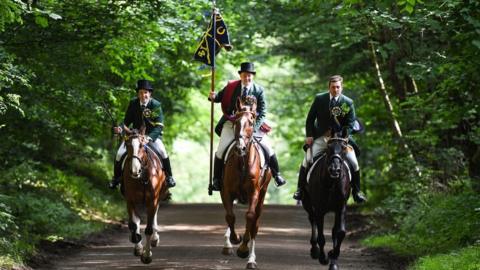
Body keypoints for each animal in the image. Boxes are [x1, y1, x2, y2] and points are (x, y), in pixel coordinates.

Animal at [122, 126, 169, 264]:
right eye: (127, 144)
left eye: (142, 145)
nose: (134, 170)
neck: (142, 176)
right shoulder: (130, 200)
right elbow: (133, 224)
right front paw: (138, 246)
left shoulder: (152, 201)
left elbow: (148, 228)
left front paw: (147, 255)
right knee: (137, 221)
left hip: (157, 198)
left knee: (153, 218)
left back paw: (154, 238)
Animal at [220, 96, 272, 268]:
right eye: (236, 121)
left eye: (251, 122)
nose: (240, 147)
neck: (242, 162)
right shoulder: (226, 191)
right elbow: (230, 216)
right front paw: (235, 238)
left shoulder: (254, 192)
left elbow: (250, 216)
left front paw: (243, 248)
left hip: (262, 195)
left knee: (255, 223)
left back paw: (251, 259)